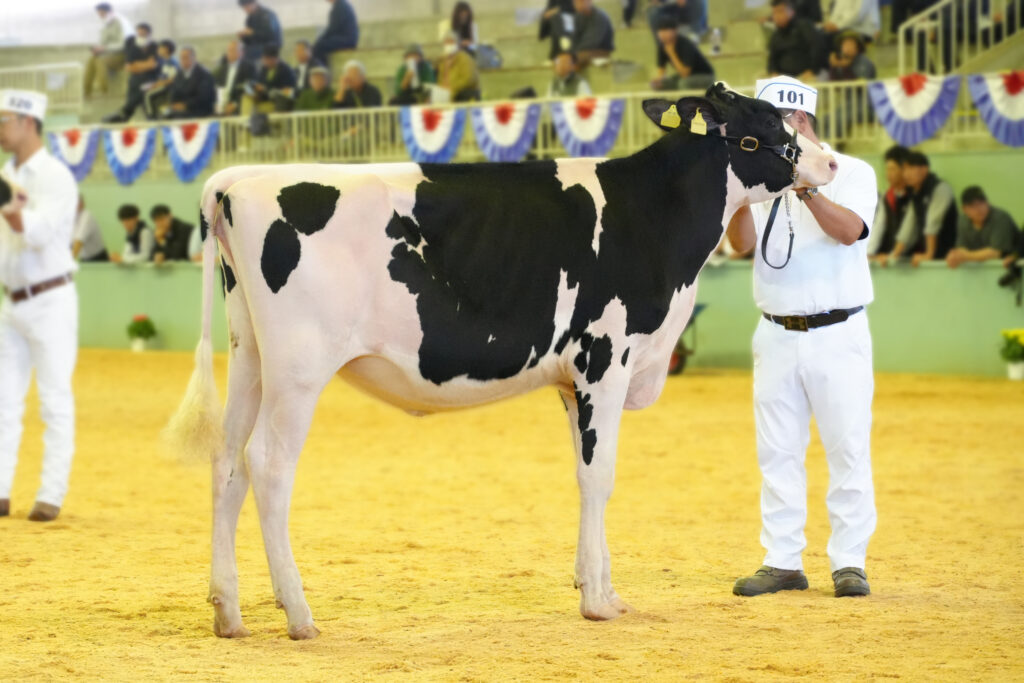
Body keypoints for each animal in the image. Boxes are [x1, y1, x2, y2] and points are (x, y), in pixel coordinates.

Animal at [167, 83, 835, 643]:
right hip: (299, 366)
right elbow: (600, 476)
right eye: (768, 121)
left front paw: (600, 588)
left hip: (250, 355)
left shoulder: (572, 380)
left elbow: (584, 473)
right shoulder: (605, 360)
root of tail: (235, 182)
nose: (829, 163)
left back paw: (228, 611)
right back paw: (299, 614)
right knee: (268, 465)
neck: (653, 215)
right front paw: (598, 601)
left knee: (227, 462)